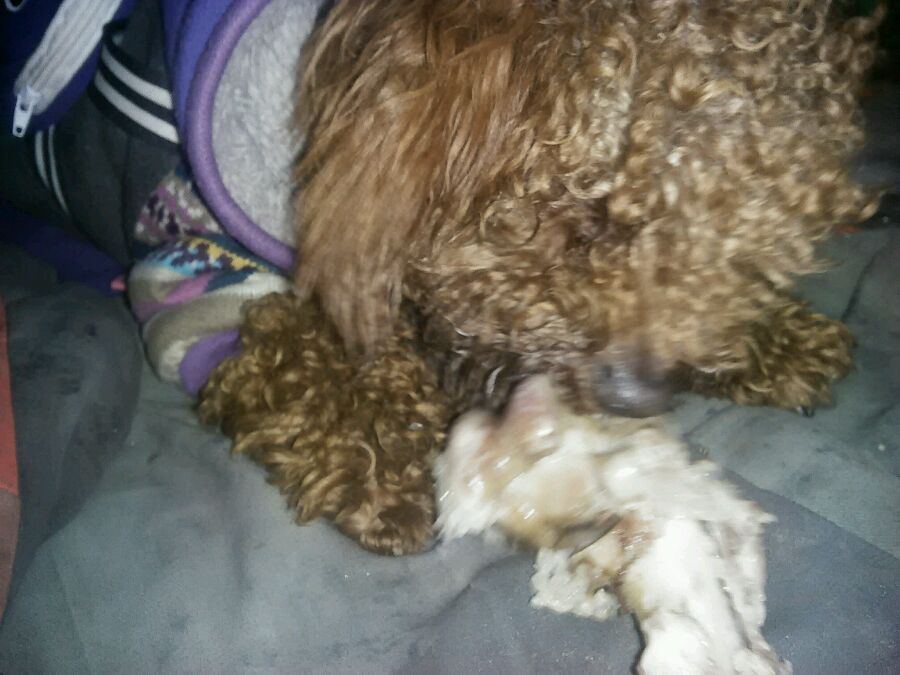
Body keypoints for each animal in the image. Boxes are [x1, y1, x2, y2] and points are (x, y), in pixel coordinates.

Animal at [199, 0, 882, 555]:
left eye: (731, 228)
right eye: (592, 209)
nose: (638, 397)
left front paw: (778, 338)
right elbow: (310, 348)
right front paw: (372, 451)